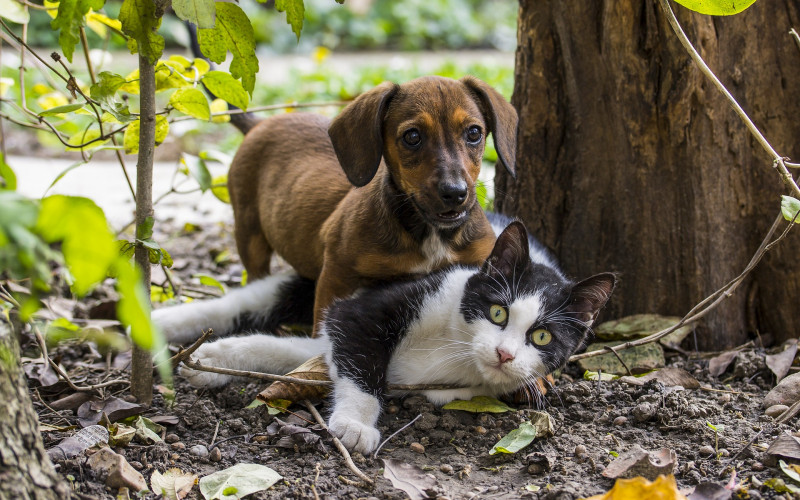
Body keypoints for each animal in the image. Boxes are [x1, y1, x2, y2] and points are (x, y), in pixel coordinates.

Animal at [153, 217, 616, 456]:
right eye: (498, 312)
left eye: (542, 338)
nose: (504, 354)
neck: (456, 348)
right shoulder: (369, 307)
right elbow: (360, 360)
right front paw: (356, 424)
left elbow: (294, 352)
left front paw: (217, 361)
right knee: (245, 300)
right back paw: (158, 324)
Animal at [228, 73, 516, 324]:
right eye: (412, 136)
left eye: (474, 133)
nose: (455, 193)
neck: (429, 234)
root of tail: (259, 124)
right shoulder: (336, 274)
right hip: (249, 234)